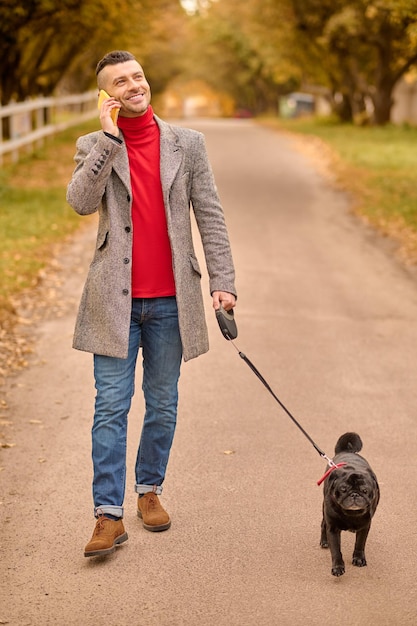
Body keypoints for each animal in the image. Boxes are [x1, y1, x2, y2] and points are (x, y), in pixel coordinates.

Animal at [320, 432, 378, 572]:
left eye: (364, 490)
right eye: (343, 489)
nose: (354, 494)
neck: (351, 514)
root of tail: (347, 450)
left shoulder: (364, 527)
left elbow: (360, 544)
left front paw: (359, 559)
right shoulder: (333, 528)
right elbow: (336, 550)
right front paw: (338, 567)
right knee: (323, 524)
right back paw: (324, 541)